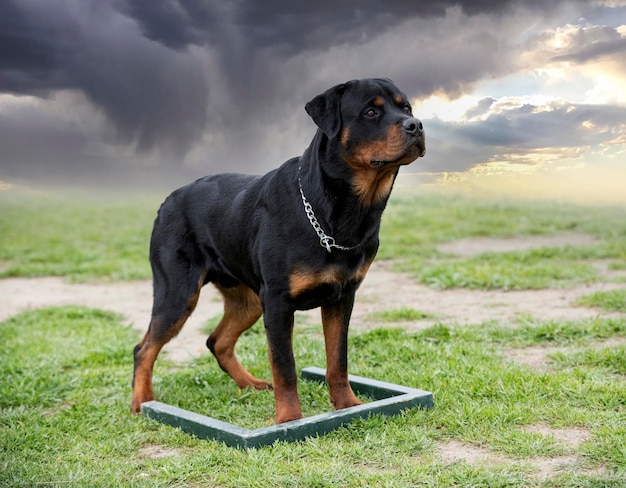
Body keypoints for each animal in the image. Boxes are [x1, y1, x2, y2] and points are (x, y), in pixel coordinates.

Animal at [132, 77, 424, 424]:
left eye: (406, 108)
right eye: (370, 112)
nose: (416, 125)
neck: (337, 213)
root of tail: (168, 200)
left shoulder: (342, 297)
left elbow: (337, 359)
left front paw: (347, 405)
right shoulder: (278, 302)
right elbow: (285, 365)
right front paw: (288, 419)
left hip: (248, 300)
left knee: (218, 341)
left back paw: (250, 384)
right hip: (178, 292)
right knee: (144, 348)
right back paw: (141, 402)